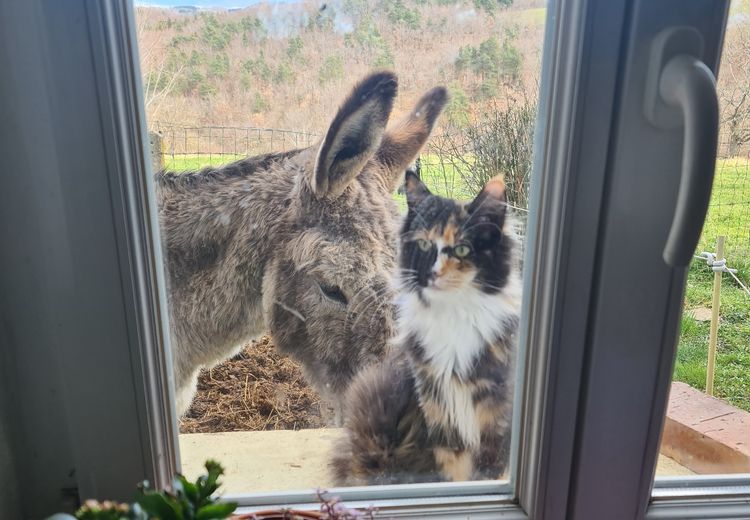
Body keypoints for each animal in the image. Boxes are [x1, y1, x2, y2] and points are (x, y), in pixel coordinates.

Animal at [334, 170, 524, 484]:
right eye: (423, 246)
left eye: (462, 249)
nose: (432, 273)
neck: (454, 315)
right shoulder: (438, 406)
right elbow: (454, 470)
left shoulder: (496, 411)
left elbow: (489, 470)